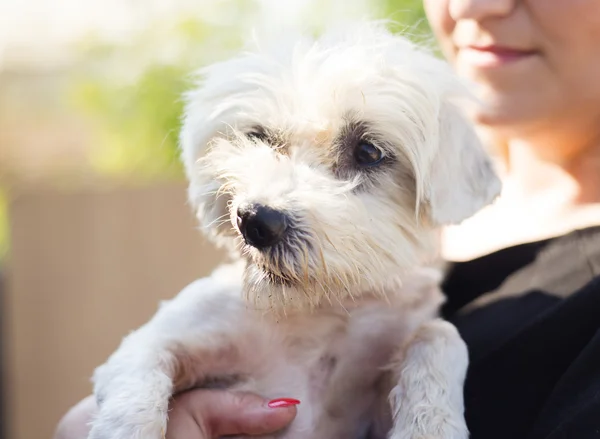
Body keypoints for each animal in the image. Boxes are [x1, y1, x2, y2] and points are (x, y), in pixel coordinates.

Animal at [88, 24, 502, 439]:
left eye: (369, 152)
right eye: (259, 137)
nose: (256, 222)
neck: (316, 309)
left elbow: (440, 335)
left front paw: (431, 422)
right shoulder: (171, 336)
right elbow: (138, 383)